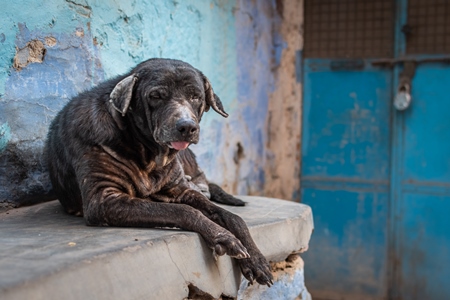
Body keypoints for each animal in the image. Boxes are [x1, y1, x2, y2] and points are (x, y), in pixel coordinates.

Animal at [44, 58, 274, 286]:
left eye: (195, 96)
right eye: (156, 96)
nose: (187, 127)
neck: (145, 152)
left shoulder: (180, 190)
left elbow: (232, 217)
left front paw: (256, 259)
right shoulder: (103, 200)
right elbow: (183, 211)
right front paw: (222, 236)